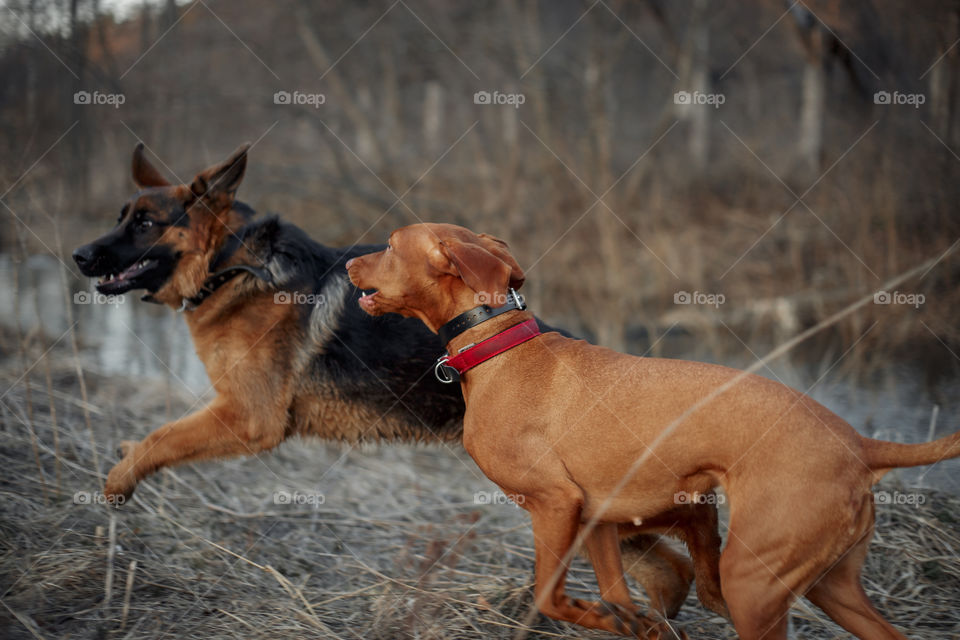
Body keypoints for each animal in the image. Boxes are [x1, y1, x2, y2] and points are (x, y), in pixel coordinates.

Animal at [73, 145, 720, 620]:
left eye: (146, 223)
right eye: (121, 217)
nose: (79, 256)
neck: (233, 264)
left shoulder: (247, 418)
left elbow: (160, 438)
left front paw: (119, 479)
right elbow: (160, 436)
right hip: (586, 506)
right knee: (671, 570)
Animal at [346, 222, 960, 636]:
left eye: (391, 245)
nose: (348, 267)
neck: (499, 346)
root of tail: (858, 443)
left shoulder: (554, 504)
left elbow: (551, 598)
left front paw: (600, 617)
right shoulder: (595, 520)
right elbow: (621, 593)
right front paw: (635, 622)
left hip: (755, 581)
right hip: (832, 586)